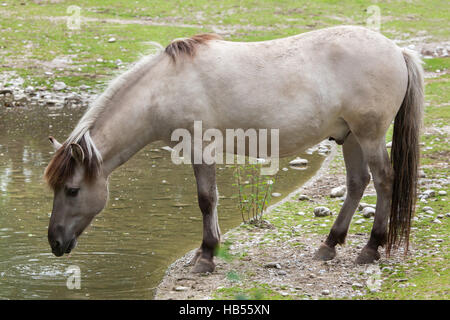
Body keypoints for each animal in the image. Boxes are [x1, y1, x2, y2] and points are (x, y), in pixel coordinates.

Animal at [44, 25, 424, 272]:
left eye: (73, 190)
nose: (55, 243)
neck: (164, 88)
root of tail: (397, 50)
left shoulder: (200, 149)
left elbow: (206, 199)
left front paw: (206, 256)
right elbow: (209, 200)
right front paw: (207, 252)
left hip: (369, 135)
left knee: (384, 181)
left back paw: (371, 248)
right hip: (351, 137)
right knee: (358, 183)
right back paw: (329, 245)